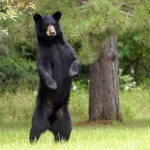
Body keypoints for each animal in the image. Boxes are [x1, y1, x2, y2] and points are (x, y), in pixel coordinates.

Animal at [29, 11, 81, 143]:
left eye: (53, 24)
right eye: (46, 25)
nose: (52, 32)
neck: (53, 42)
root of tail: (50, 123)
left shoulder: (66, 49)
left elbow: (76, 60)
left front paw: (73, 72)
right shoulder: (44, 53)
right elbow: (43, 67)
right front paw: (52, 83)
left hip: (64, 115)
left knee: (65, 130)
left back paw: (62, 141)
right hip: (41, 110)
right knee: (36, 127)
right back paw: (33, 141)